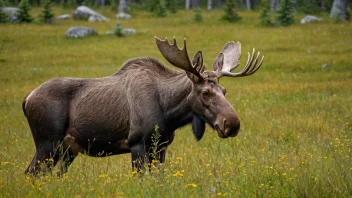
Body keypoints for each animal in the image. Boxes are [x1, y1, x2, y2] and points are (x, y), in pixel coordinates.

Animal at [22, 36, 264, 175]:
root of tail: (26, 99)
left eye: (224, 91)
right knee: (32, 173)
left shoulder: (161, 146)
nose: (232, 124)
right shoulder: (137, 144)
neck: (169, 114)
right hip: (47, 143)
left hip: (66, 150)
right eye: (205, 92)